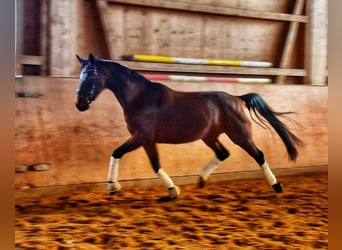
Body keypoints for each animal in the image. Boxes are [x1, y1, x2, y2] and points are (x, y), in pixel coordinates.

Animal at [74, 53, 302, 200]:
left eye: (91, 75)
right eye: (80, 75)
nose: (80, 104)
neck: (140, 98)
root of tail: (237, 99)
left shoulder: (141, 137)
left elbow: (119, 153)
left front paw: (113, 187)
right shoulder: (146, 140)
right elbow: (153, 164)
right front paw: (172, 191)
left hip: (241, 136)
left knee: (259, 155)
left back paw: (277, 186)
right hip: (210, 136)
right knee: (224, 153)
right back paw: (201, 180)